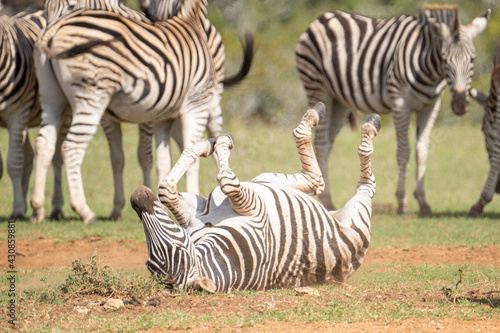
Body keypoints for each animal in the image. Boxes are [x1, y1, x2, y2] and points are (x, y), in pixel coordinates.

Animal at [29, 1, 252, 223]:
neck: (191, 20)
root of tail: (53, 31)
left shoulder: (163, 117)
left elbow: (160, 161)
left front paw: (161, 203)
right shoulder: (195, 105)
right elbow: (191, 156)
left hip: (52, 98)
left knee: (44, 144)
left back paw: (38, 208)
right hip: (92, 97)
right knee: (71, 147)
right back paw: (84, 211)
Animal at [131, 103, 380, 290]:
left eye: (179, 246)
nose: (136, 198)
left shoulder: (195, 212)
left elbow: (166, 190)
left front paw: (206, 144)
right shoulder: (255, 210)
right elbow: (226, 181)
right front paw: (218, 142)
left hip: (264, 180)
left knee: (315, 179)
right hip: (355, 213)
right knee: (343, 182)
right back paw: (365, 124)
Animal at [294, 3, 490, 214]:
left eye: (472, 58)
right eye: (445, 58)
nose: (461, 104)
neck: (430, 69)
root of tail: (322, 18)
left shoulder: (431, 106)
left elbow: (422, 151)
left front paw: (423, 202)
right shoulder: (400, 103)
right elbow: (403, 152)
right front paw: (402, 203)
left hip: (339, 100)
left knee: (327, 144)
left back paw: (326, 200)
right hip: (318, 87)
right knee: (321, 142)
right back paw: (326, 201)